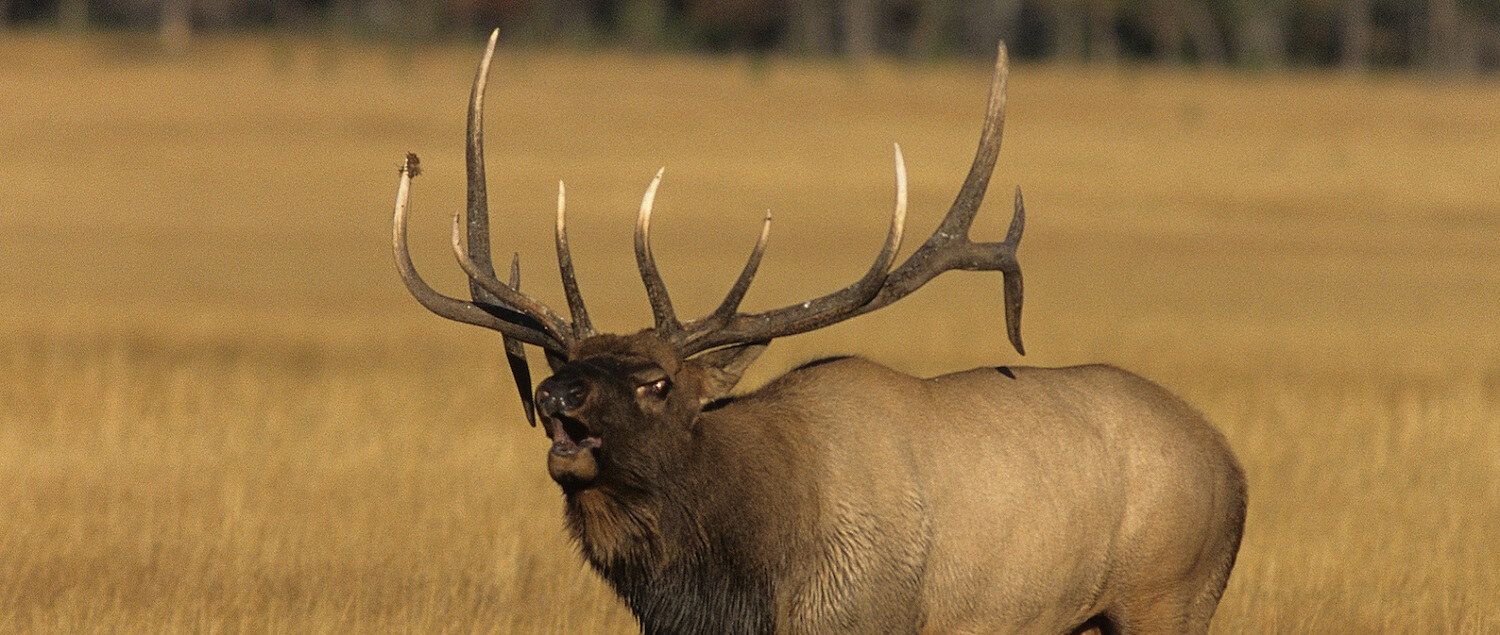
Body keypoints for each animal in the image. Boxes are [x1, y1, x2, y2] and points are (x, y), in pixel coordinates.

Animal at [392, 30, 1246, 635]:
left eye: (658, 381)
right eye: (569, 357)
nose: (554, 392)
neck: (742, 582)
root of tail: (1234, 466)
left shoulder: (868, 618)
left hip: (1171, 592)